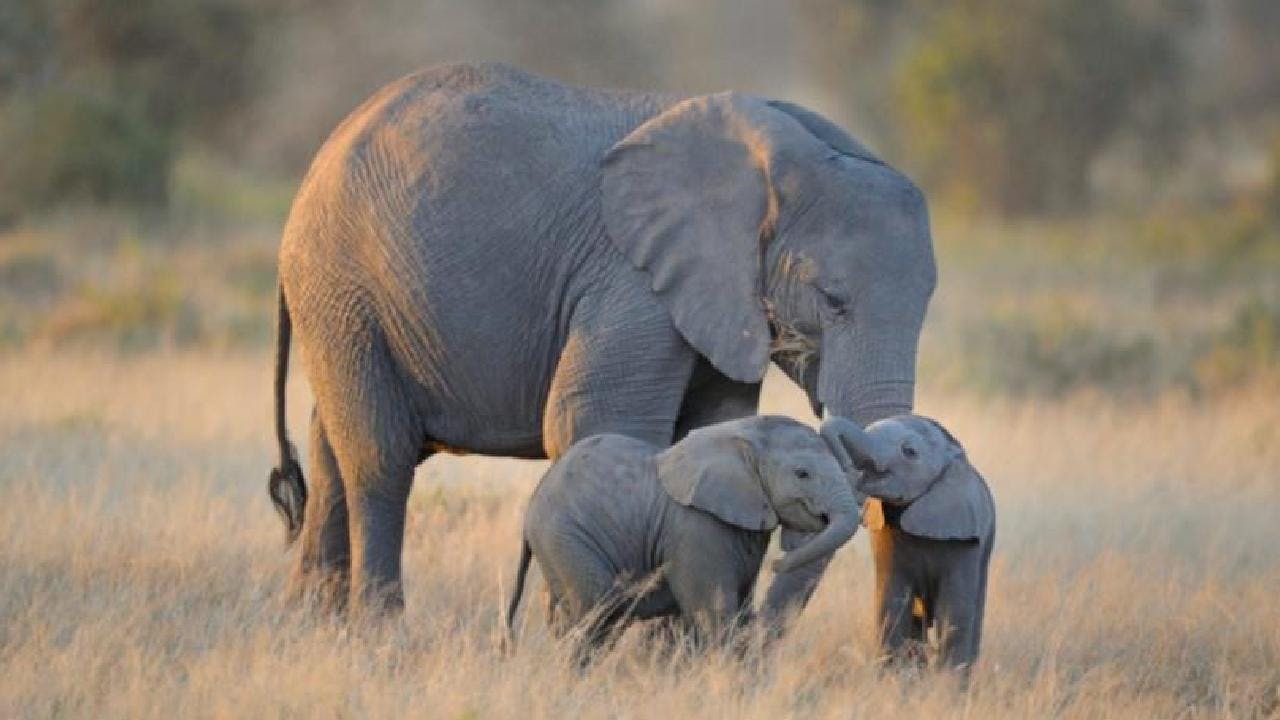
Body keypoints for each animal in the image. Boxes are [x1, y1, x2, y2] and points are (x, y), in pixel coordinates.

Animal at [264, 62, 937, 614]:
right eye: (832, 300)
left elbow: (708, 429)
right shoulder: (631, 279)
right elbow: (595, 420)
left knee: (331, 450)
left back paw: (314, 629)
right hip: (342, 286)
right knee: (379, 457)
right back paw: (380, 633)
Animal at [505, 415, 861, 658]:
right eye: (803, 474)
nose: (778, 562)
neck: (744, 434)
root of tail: (531, 507)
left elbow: (741, 610)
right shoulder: (696, 527)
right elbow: (715, 612)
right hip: (566, 537)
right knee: (594, 613)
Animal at [821, 415, 994, 676]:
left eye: (909, 452)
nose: (849, 469)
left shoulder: (965, 540)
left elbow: (954, 614)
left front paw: (946, 685)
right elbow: (891, 604)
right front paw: (893, 680)